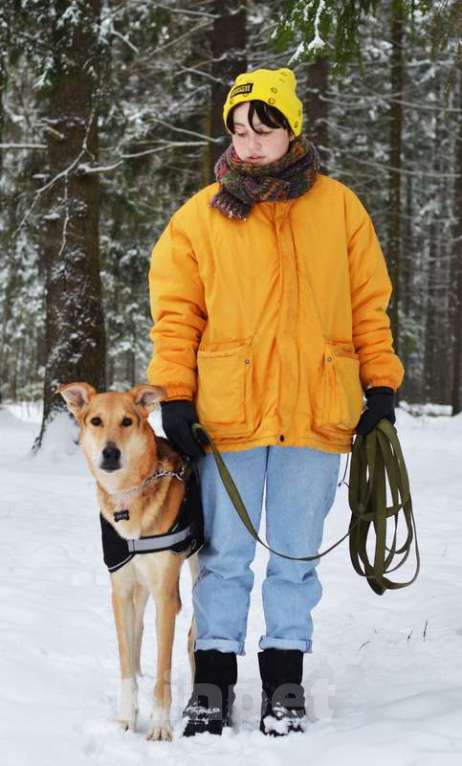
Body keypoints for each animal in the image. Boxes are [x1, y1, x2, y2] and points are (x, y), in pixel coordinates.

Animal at [57, 384, 199, 744]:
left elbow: (164, 668)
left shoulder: (166, 595)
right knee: (138, 633)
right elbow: (125, 658)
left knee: (194, 633)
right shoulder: (120, 588)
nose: (110, 453)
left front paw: (160, 724)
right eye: (95, 421)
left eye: (127, 421)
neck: (128, 500)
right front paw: (125, 718)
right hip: (138, 585)